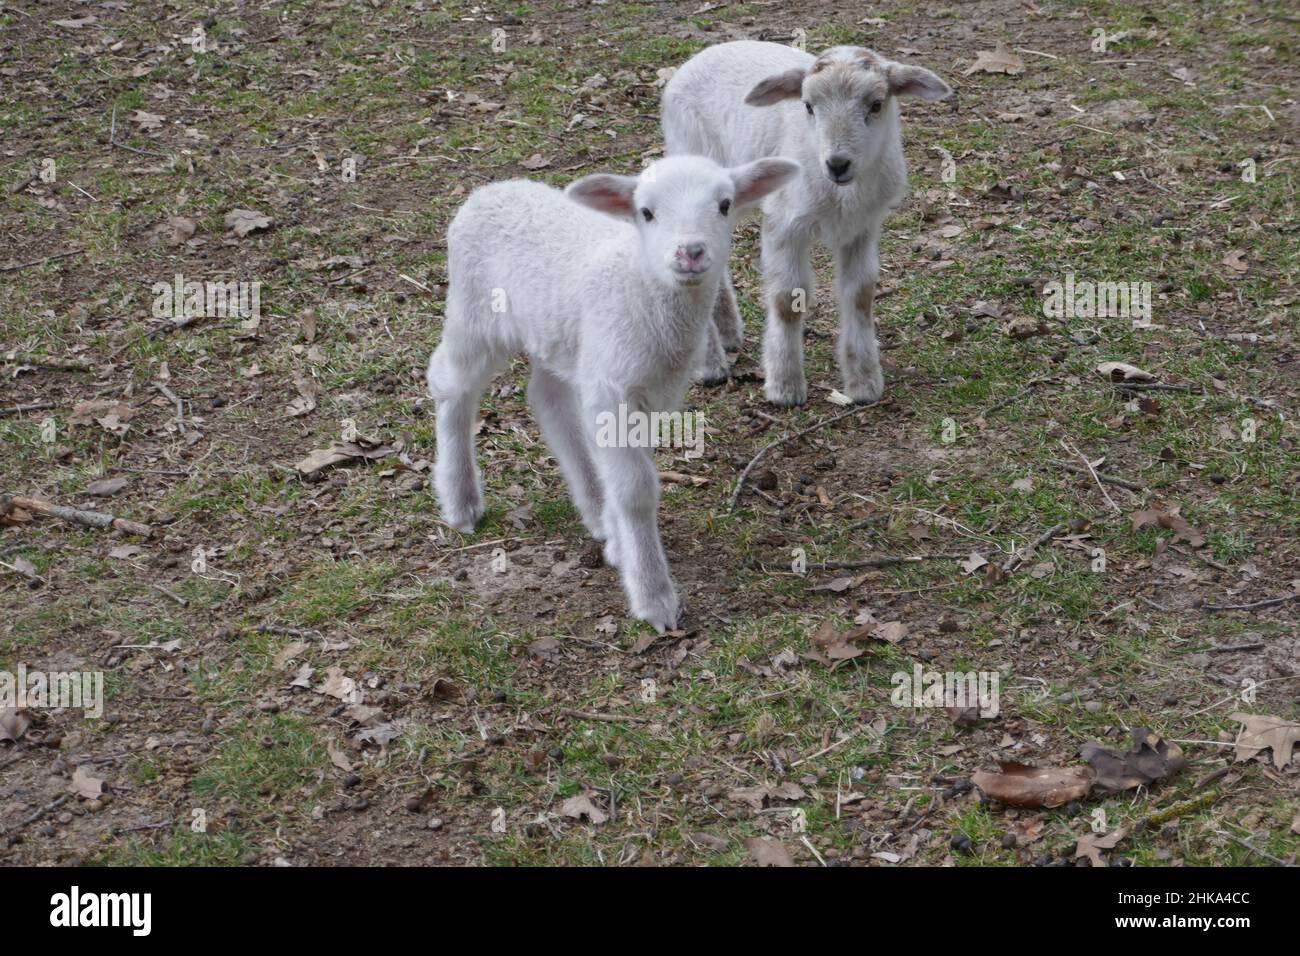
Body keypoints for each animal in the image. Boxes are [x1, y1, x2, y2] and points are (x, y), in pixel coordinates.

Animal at [426, 153, 795, 632]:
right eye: (646, 212)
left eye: (725, 205)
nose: (691, 252)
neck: (640, 286)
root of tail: (489, 190)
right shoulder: (612, 388)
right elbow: (636, 488)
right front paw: (654, 596)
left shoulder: (646, 391)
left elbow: (626, 472)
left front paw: (619, 543)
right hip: (474, 313)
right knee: (451, 384)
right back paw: (461, 501)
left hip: (563, 339)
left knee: (548, 398)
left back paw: (594, 507)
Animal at [665, 41, 951, 405]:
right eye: (808, 106)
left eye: (876, 105)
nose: (838, 164)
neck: (840, 193)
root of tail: (698, 57)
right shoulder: (784, 222)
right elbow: (787, 300)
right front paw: (784, 386)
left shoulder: (862, 228)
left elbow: (861, 294)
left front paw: (864, 384)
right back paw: (709, 365)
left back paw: (728, 332)